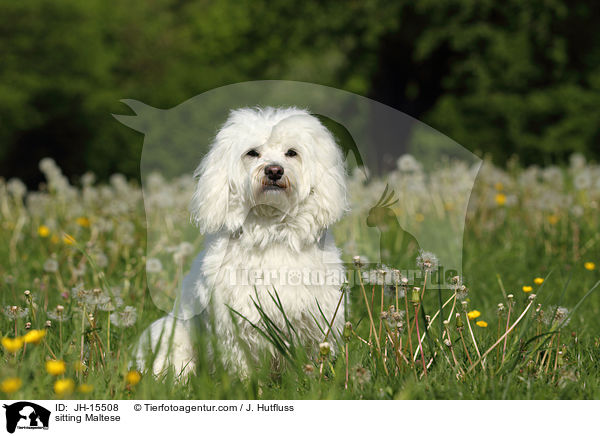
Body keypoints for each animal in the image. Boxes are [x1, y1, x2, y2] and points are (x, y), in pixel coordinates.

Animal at [137, 106, 346, 378]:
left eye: (292, 152)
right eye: (252, 153)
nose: (274, 170)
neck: (270, 229)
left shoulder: (313, 319)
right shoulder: (235, 324)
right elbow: (241, 366)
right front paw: (246, 383)